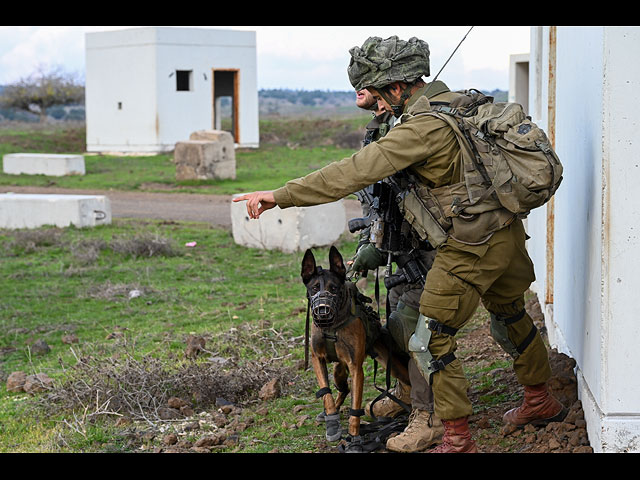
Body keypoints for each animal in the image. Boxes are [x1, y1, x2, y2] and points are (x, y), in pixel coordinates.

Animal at [302, 248, 410, 446]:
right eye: (314, 288)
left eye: (334, 288)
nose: (322, 311)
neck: (332, 326)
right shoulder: (317, 359)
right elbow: (326, 394)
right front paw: (332, 423)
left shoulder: (356, 368)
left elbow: (355, 407)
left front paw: (354, 438)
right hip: (338, 369)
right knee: (343, 389)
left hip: (393, 366)